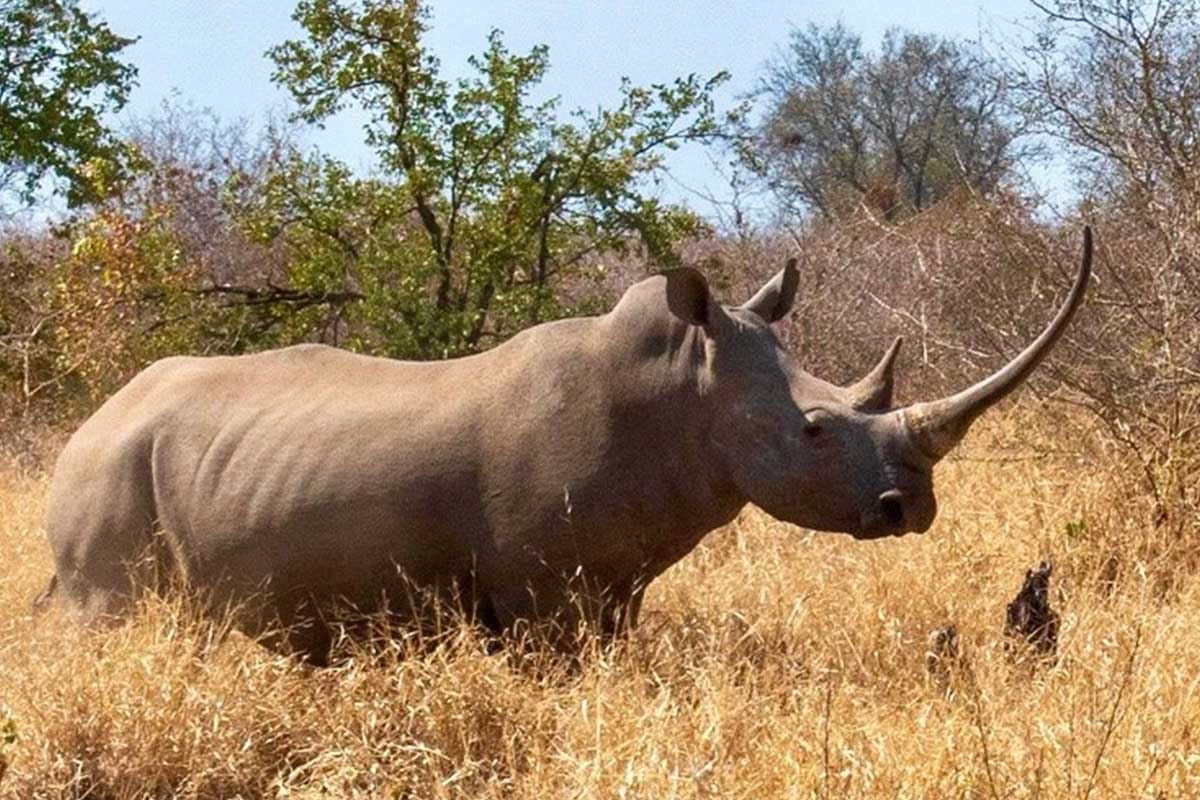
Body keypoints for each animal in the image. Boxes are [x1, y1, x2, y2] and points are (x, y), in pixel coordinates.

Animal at [39, 229, 1092, 663]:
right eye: (815, 429)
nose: (911, 509)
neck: (683, 392)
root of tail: (82, 425)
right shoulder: (543, 595)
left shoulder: (610, 586)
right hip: (106, 471)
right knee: (109, 612)